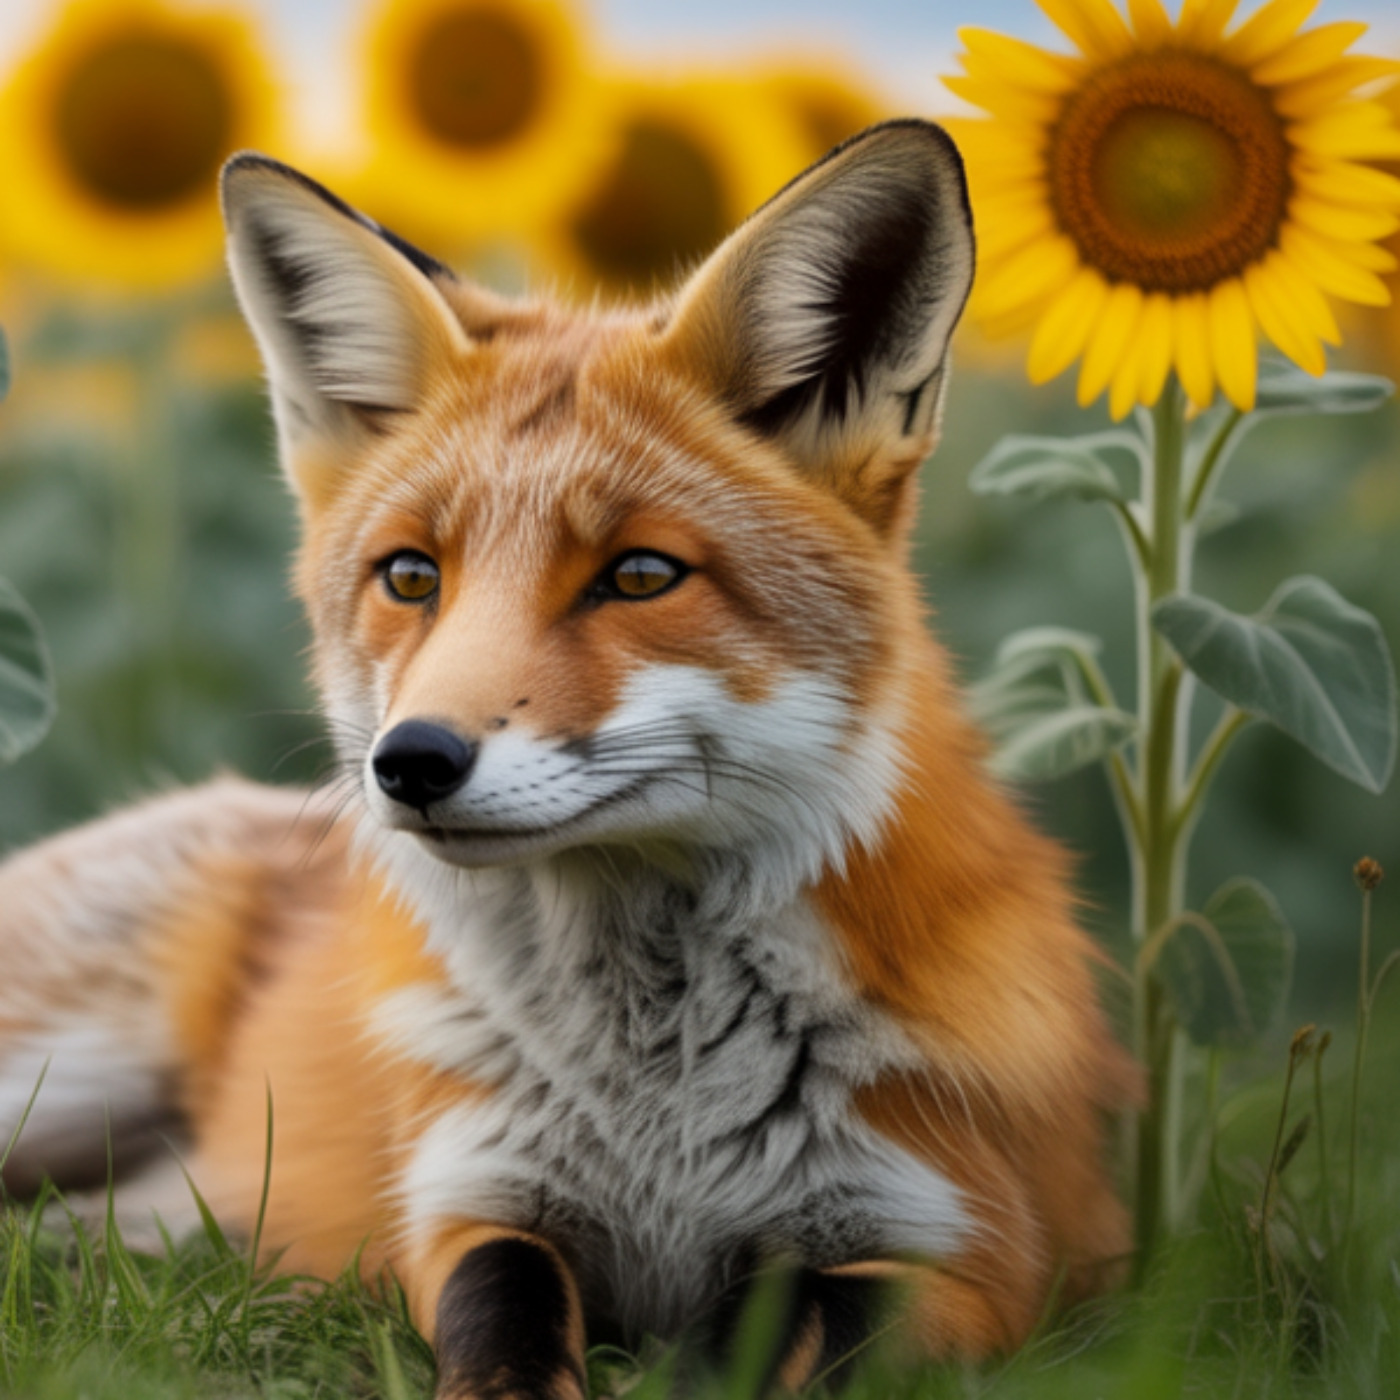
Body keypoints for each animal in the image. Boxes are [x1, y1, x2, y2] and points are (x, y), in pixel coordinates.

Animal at [0, 121, 1135, 1397]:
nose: (411, 761)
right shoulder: (471, 1202)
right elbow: (503, 1331)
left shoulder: (968, 1257)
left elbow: (740, 1353)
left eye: (639, 575)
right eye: (411, 575)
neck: (652, 1114)